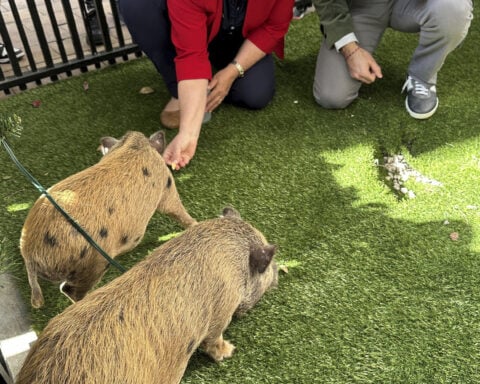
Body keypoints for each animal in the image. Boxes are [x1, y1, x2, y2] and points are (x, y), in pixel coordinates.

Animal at [18, 130, 195, 308]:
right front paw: (195, 223)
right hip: (94, 262)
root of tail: (29, 252)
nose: (161, 132)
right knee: (69, 289)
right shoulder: (166, 185)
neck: (134, 146)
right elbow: (177, 210)